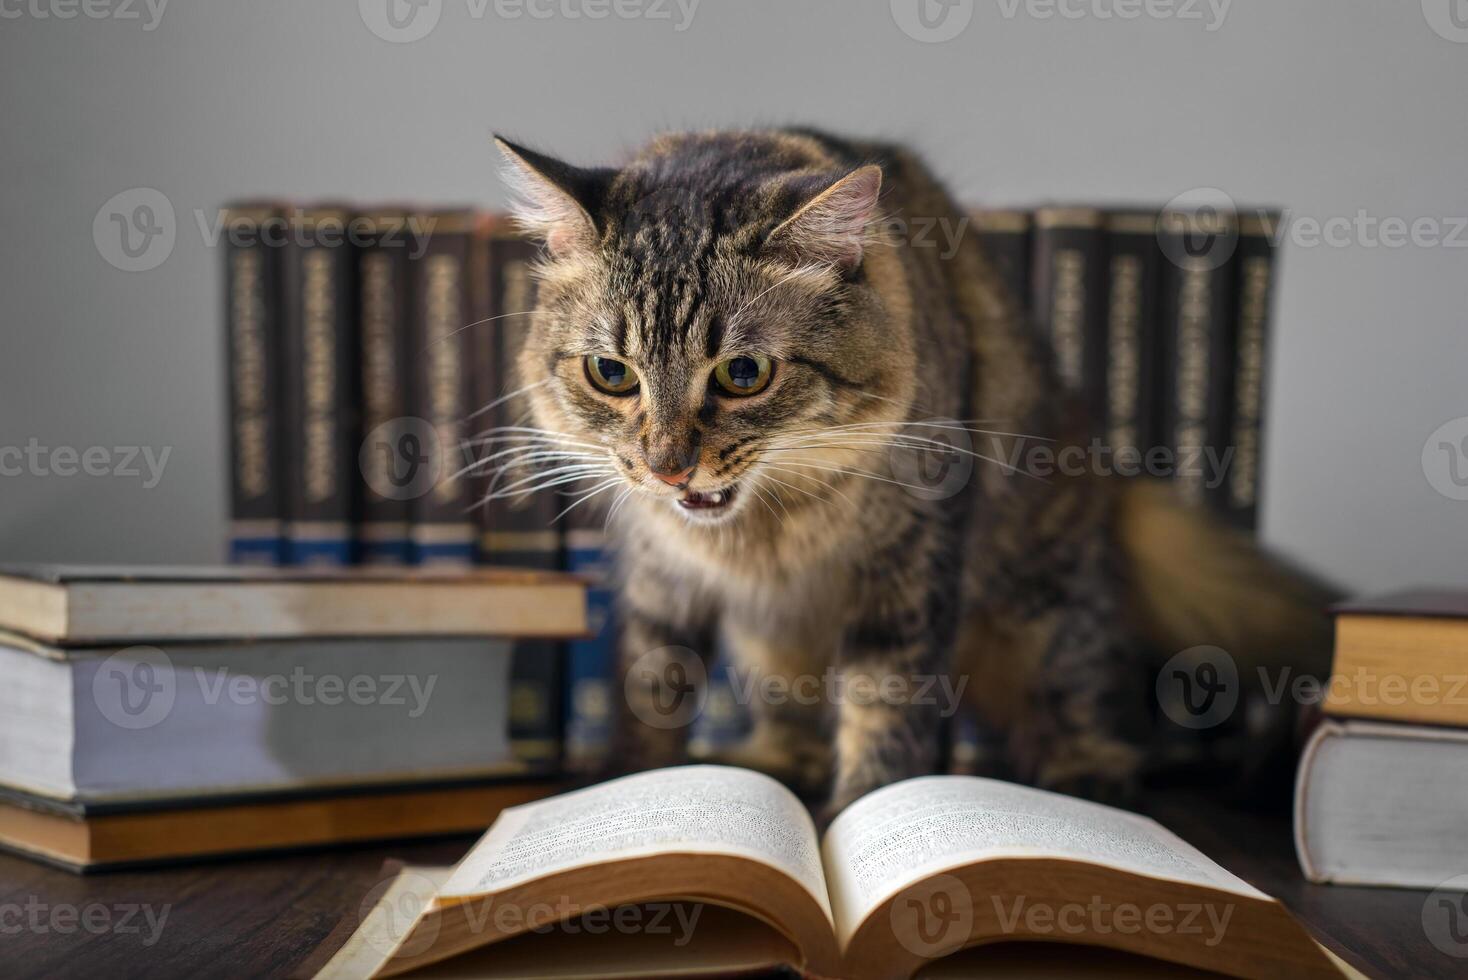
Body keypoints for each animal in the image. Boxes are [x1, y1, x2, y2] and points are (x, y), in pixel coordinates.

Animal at [487, 129, 1338, 821]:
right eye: (610, 373)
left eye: (743, 374)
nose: (668, 468)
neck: (763, 531)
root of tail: (1105, 475)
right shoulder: (659, 583)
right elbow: (649, 692)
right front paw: (631, 792)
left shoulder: (909, 569)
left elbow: (886, 709)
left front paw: (861, 814)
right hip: (772, 644)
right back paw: (776, 761)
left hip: (1042, 593)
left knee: (1080, 685)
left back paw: (1085, 768)